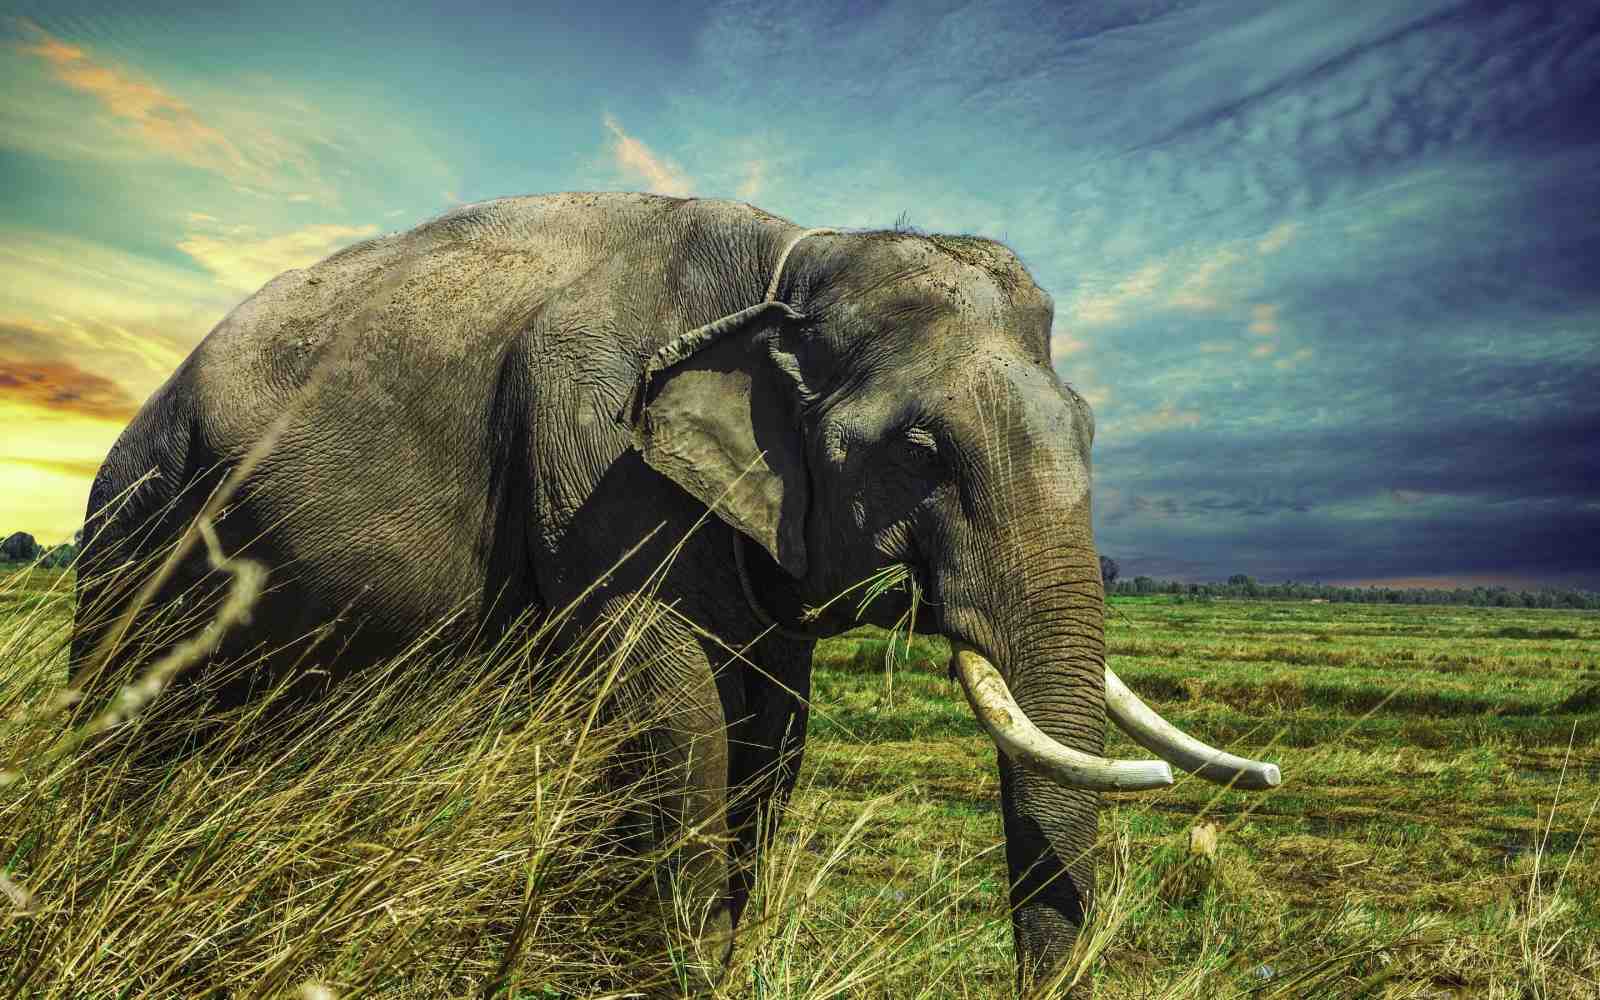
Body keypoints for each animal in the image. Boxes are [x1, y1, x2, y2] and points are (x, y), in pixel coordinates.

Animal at [70, 192, 1278, 994]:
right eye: (922, 451)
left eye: (1090, 432)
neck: (794, 257)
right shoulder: (592, 447)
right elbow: (676, 707)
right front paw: (679, 971)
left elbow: (774, 732)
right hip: (133, 523)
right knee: (128, 717)